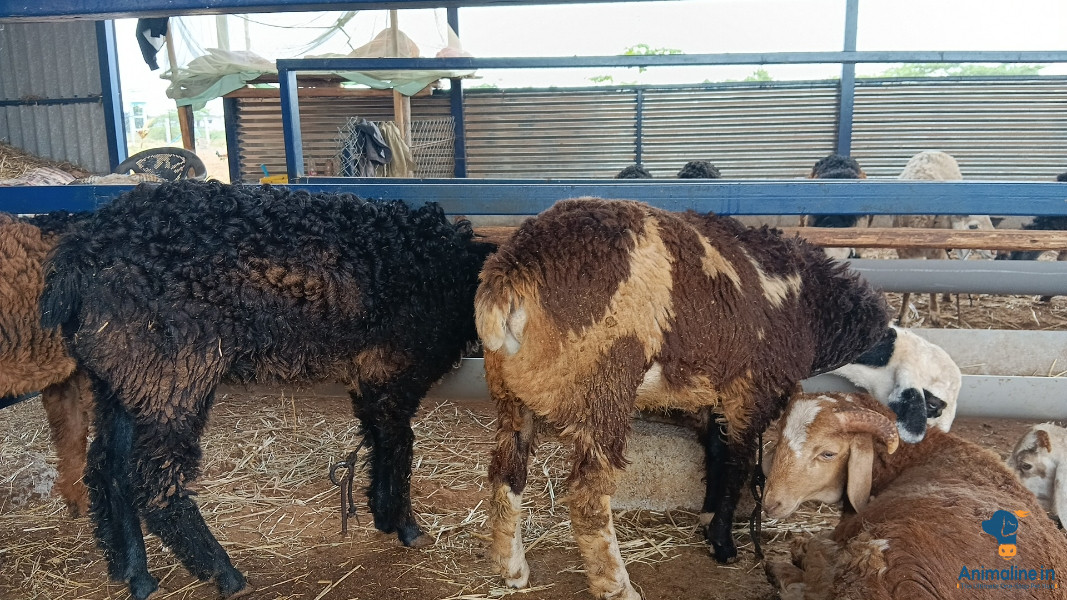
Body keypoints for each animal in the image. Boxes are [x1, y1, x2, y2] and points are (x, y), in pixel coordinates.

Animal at [39, 180, 496, 600]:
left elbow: (381, 439)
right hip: (171, 369)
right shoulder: (395, 370)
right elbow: (399, 444)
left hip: (120, 374)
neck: (451, 274)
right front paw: (406, 526)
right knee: (154, 480)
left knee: (107, 466)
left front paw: (384, 516)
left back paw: (134, 573)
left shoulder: (371, 378)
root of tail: (79, 254)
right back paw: (223, 574)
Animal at [475, 197, 895, 600]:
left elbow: (715, 454)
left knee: (506, 475)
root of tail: (510, 277)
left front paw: (708, 521)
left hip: (509, 391)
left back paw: (512, 571)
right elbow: (737, 465)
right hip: (605, 385)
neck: (806, 305)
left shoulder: (715, 393)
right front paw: (723, 543)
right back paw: (617, 587)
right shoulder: (750, 393)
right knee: (587, 498)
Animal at [893, 151, 996, 326]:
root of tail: (933, 151)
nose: (995, 252)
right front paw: (902, 316)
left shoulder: (936, 252)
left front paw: (935, 314)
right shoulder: (904, 253)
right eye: (973, 226)